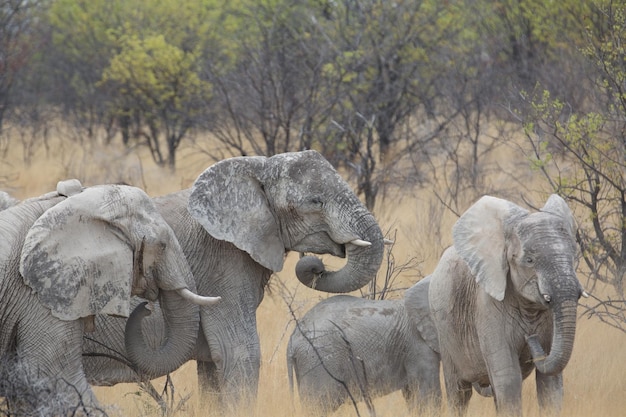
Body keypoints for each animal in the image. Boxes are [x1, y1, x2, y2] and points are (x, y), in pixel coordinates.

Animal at [83, 150, 386, 410]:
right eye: (315, 202)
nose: (316, 267)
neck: (256, 168)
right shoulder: (222, 262)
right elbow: (240, 353)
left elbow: (212, 365)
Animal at [426, 194, 584, 416]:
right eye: (529, 260)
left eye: (573, 255)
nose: (531, 337)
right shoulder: (488, 307)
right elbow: (508, 379)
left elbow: (551, 384)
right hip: (444, 331)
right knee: (459, 391)